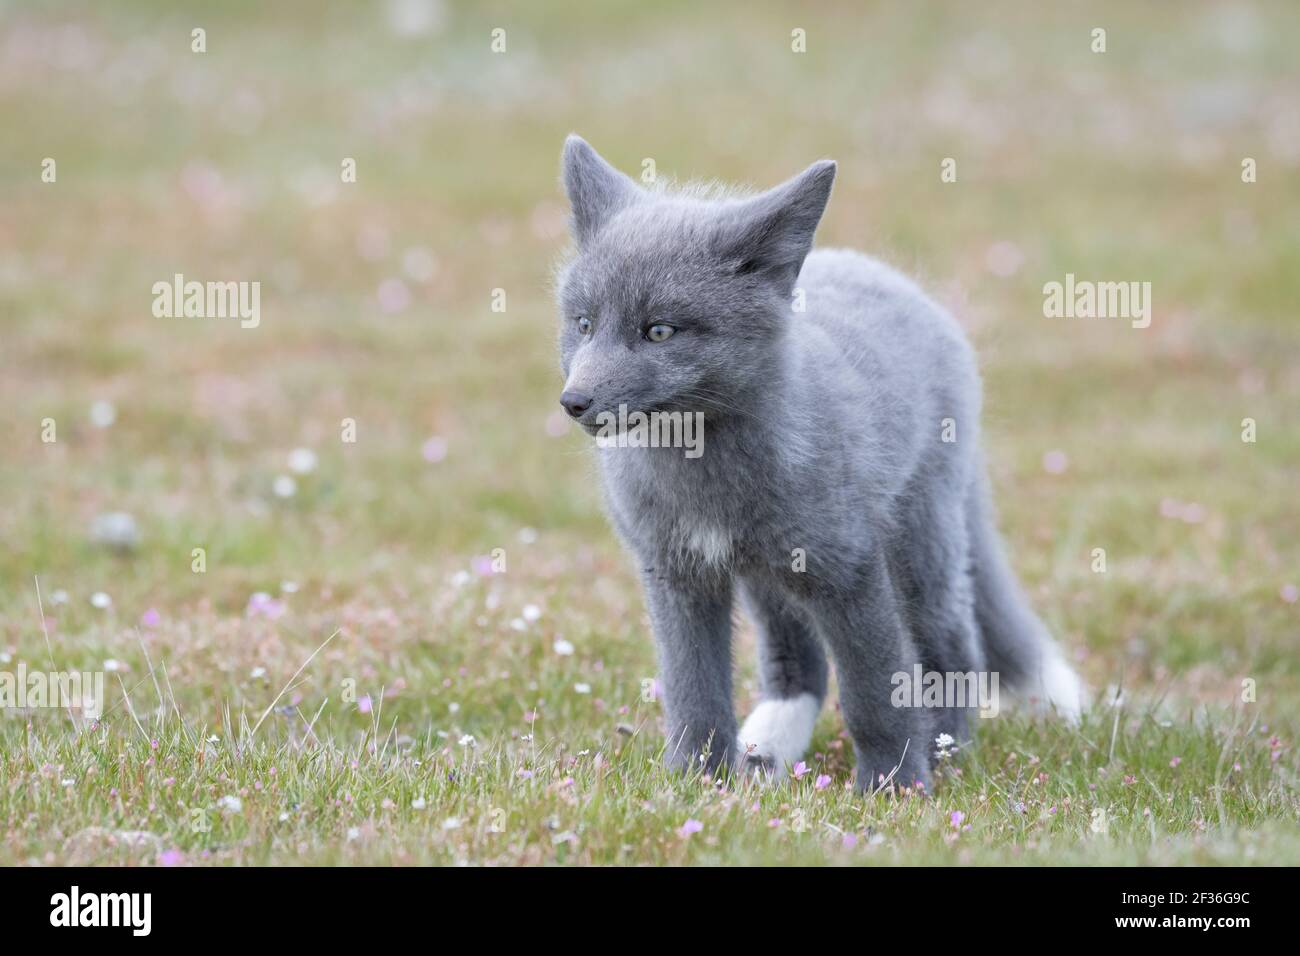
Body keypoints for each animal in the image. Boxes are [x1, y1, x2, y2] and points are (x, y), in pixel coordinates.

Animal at [553, 135, 1084, 792]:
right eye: (583, 324)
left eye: (658, 331)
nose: (574, 402)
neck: (704, 481)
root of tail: (883, 272)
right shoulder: (677, 574)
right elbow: (693, 693)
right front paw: (695, 782)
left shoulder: (849, 569)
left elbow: (874, 694)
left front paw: (892, 787)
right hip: (769, 578)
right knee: (798, 666)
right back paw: (765, 752)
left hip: (920, 547)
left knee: (956, 647)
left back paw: (944, 752)